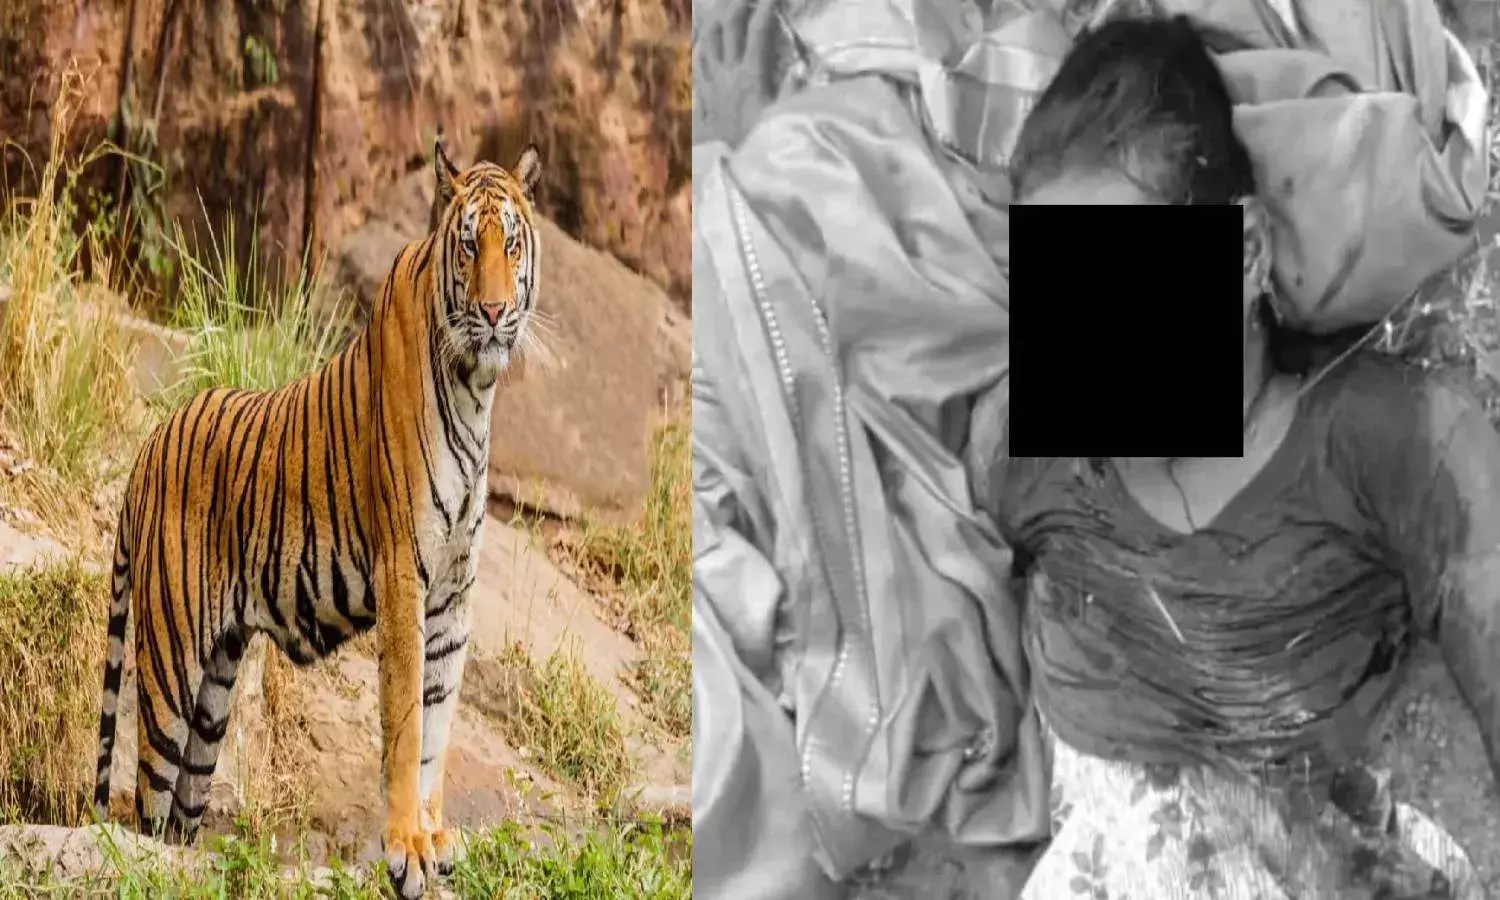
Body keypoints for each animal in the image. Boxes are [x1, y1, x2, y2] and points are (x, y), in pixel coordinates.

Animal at [91, 137, 543, 899]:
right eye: (467, 246)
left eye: (511, 245)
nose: (492, 311)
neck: (476, 390)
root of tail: (147, 448)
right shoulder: (405, 578)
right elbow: (405, 727)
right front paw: (405, 851)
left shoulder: (454, 594)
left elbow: (439, 725)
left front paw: (434, 838)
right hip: (170, 664)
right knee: (146, 803)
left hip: (215, 691)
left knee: (183, 809)